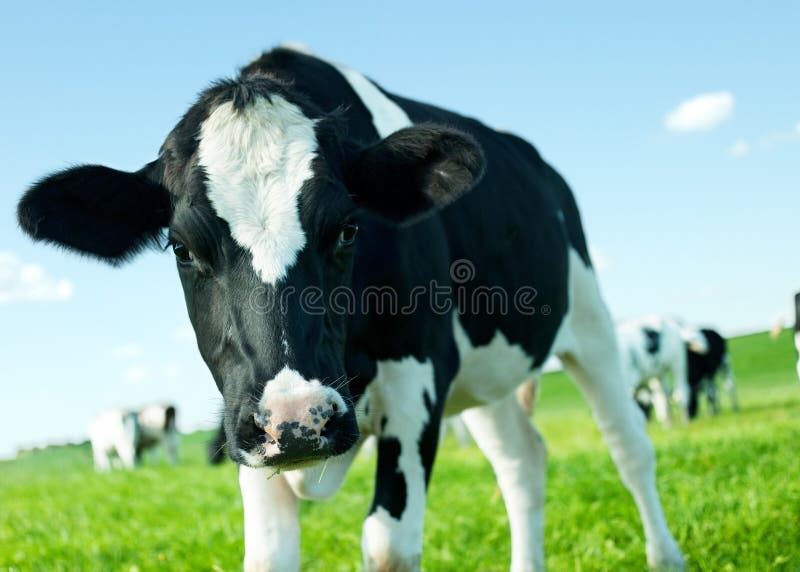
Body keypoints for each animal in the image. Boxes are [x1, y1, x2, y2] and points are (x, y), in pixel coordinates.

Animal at [15, 47, 684, 568]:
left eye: (347, 228)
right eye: (181, 247)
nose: (298, 420)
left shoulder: (419, 373)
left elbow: (388, 544)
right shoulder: (247, 420)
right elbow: (268, 552)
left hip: (592, 325)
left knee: (630, 446)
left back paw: (665, 556)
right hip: (482, 374)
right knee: (522, 460)